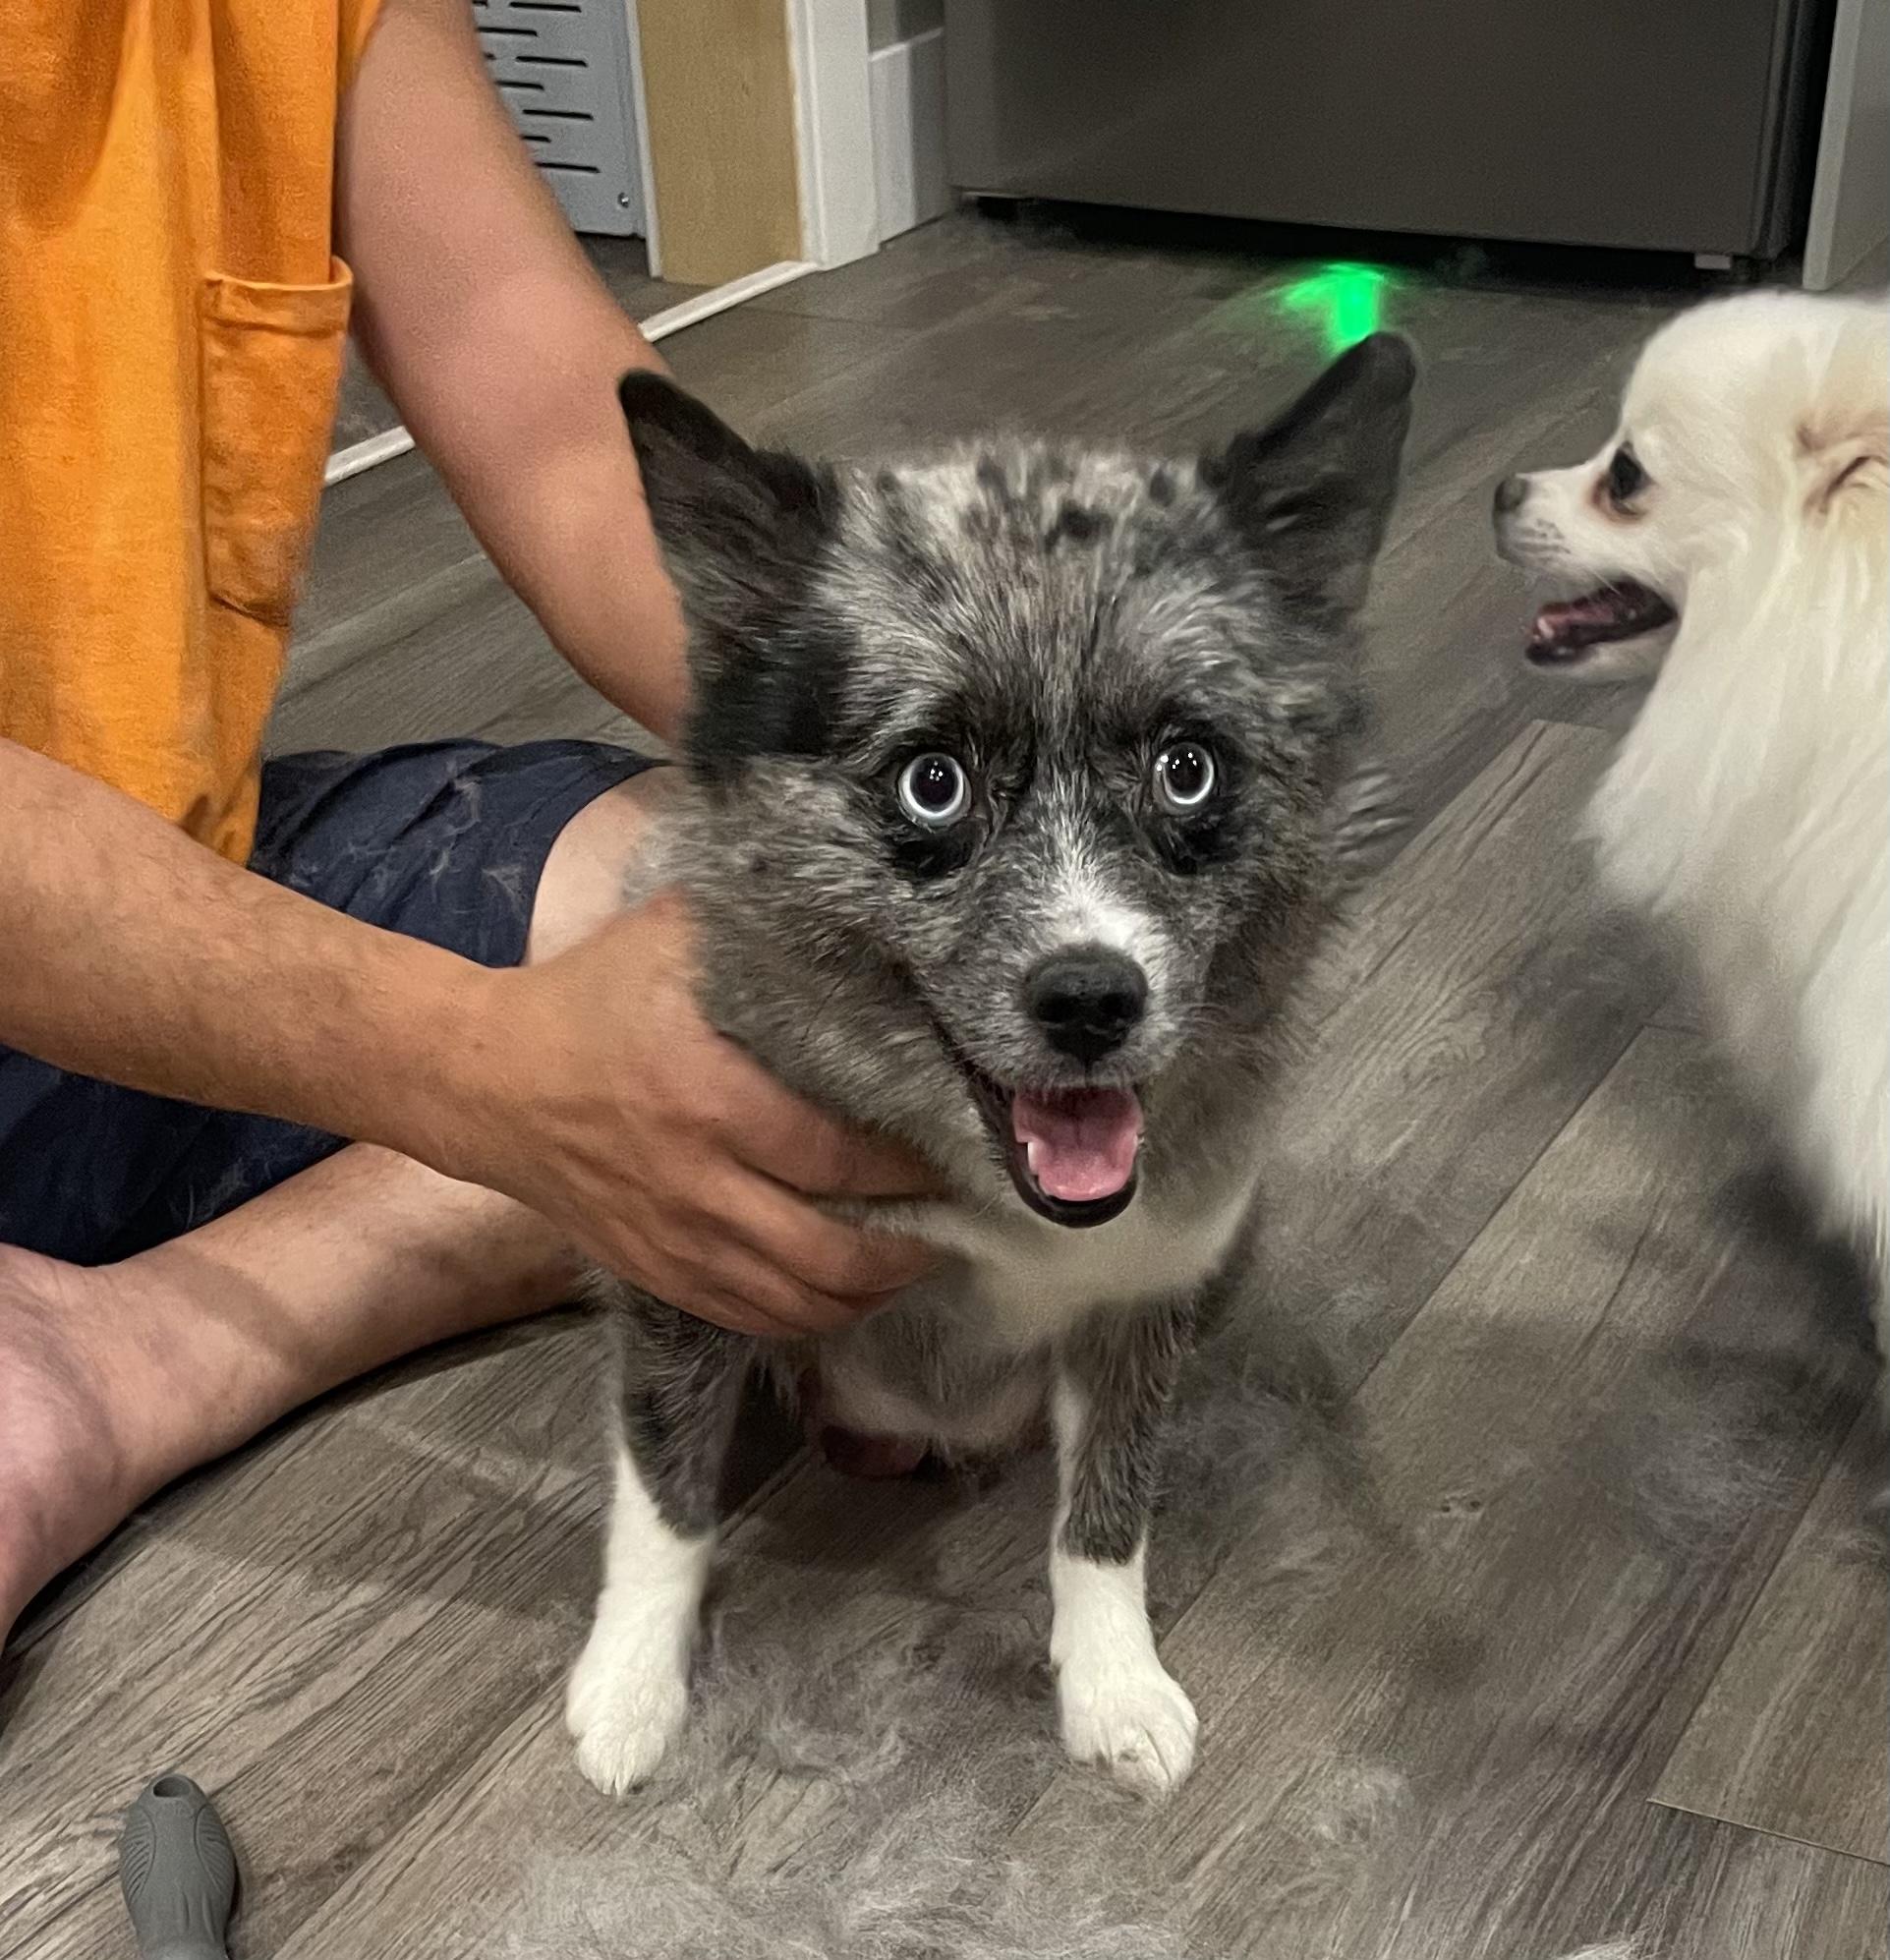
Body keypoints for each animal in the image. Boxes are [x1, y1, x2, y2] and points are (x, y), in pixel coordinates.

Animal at [567, 334, 1417, 1802]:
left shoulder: (1143, 1299)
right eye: (932, 782)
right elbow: (664, 1491)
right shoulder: (683, 1259)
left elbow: (1107, 1513)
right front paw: (631, 1682)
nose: (1091, 997)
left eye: (1187, 768)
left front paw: (1113, 1681)